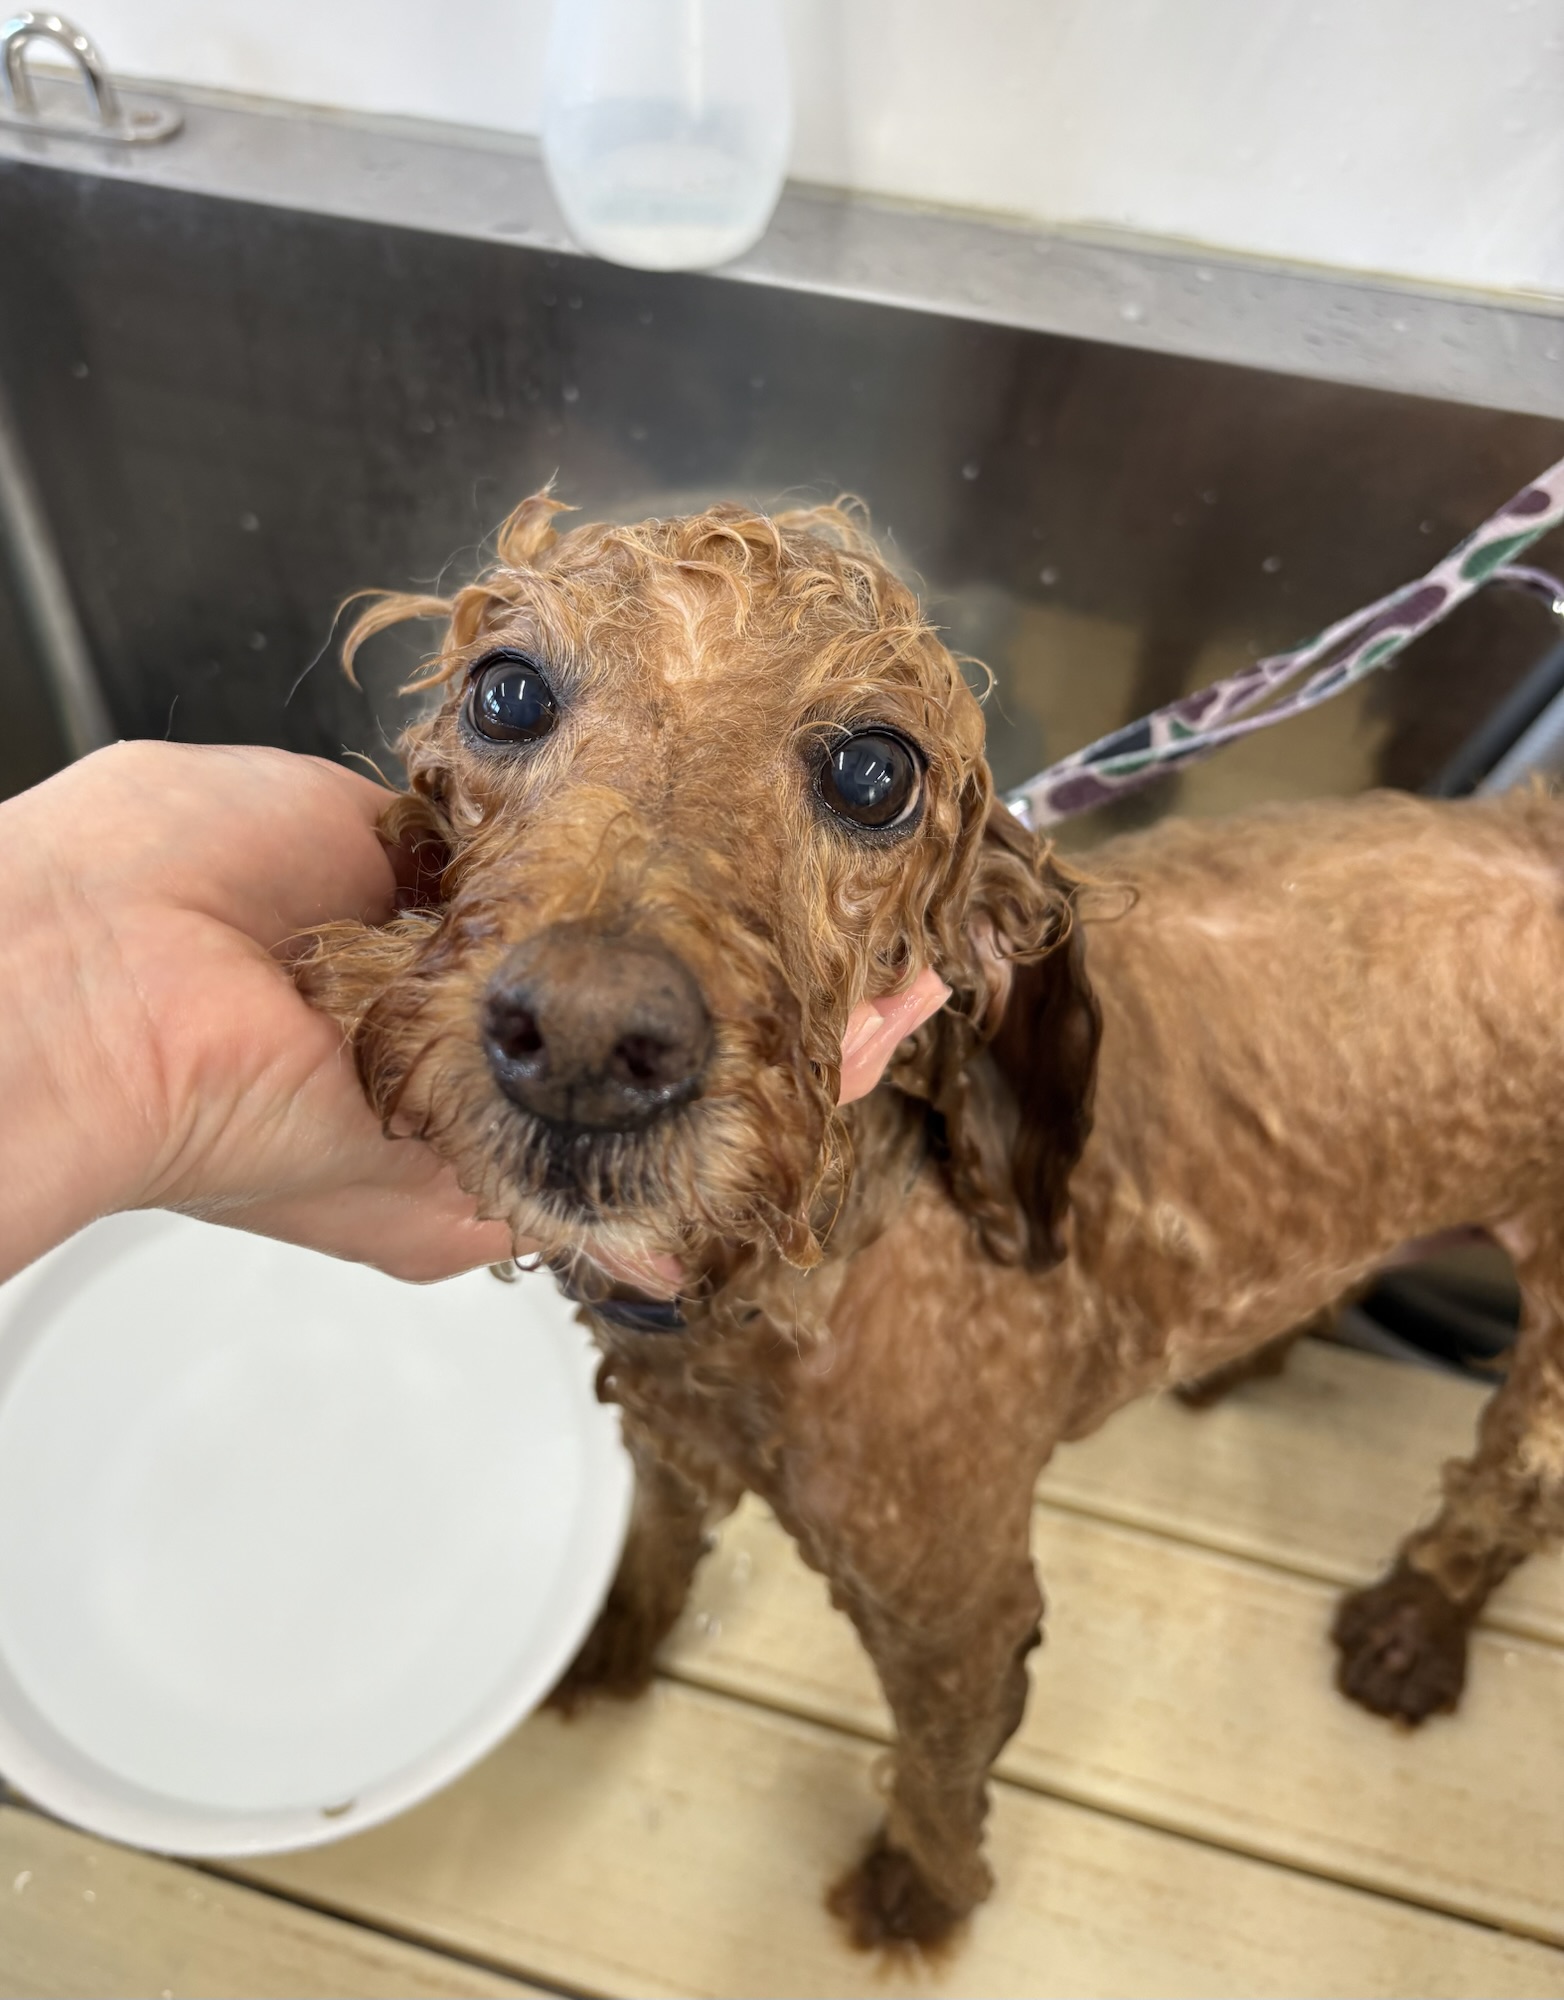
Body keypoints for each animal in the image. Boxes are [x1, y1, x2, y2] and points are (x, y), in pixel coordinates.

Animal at [299, 495, 1564, 1948]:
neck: (802, 1272)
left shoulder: (960, 1619)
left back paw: (1416, 1623)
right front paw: (614, 1638)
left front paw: (919, 1890)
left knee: (1510, 1491)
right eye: (506, 692)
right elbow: (660, 1541)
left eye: (873, 773)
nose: (583, 1038)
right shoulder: (669, 1434)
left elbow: (938, 1773)